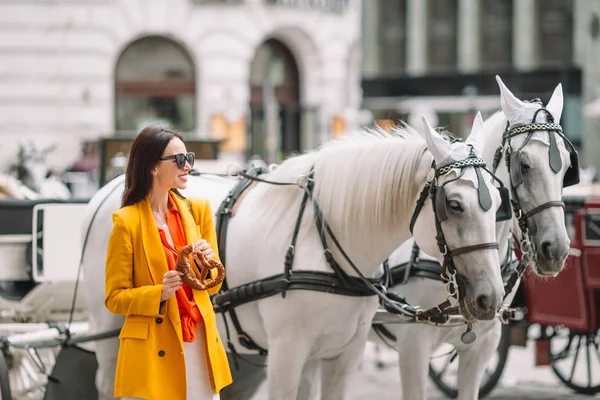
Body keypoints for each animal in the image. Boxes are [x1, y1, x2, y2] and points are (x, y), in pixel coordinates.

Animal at [81, 115, 506, 396]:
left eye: (500, 204)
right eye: (454, 205)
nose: (491, 298)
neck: (325, 245)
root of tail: (113, 187)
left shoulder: (340, 355)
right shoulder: (288, 354)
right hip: (111, 329)